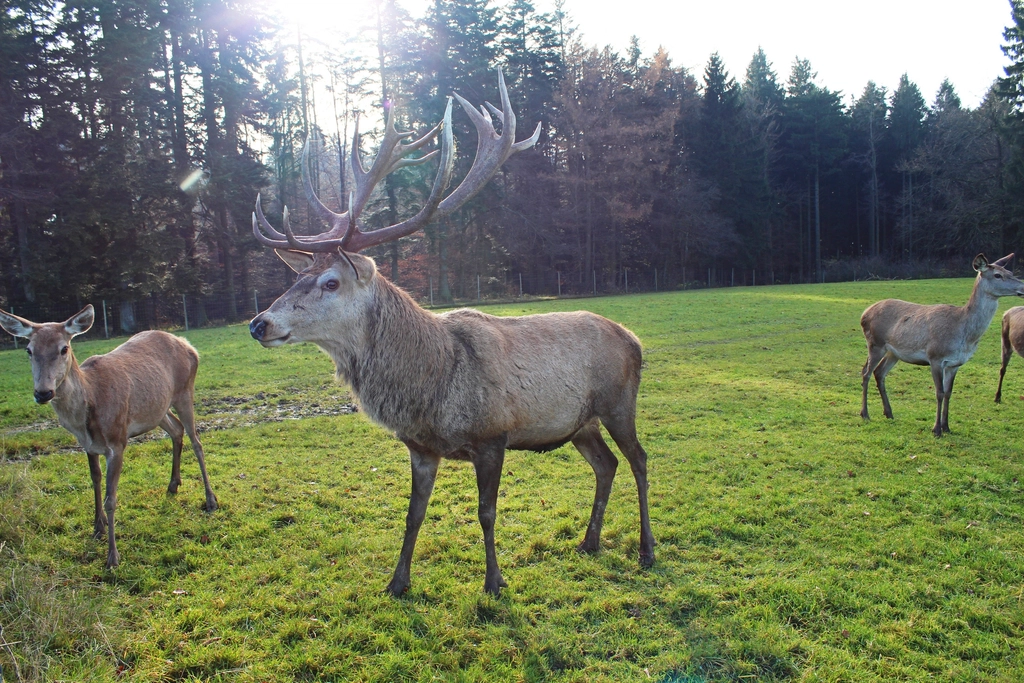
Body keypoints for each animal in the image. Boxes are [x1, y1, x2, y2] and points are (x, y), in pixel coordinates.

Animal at [0, 305, 218, 568]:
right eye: (29, 350)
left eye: (64, 348)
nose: (43, 392)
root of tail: (188, 345)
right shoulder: (88, 445)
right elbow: (95, 480)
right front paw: (97, 527)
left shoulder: (117, 440)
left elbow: (110, 498)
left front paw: (113, 556)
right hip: (156, 409)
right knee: (176, 430)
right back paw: (173, 485)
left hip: (185, 391)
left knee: (197, 441)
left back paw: (210, 499)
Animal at [248, 71, 656, 596]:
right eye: (297, 276)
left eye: (331, 281)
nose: (259, 322)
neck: (433, 387)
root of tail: (634, 339)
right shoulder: (421, 449)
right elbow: (413, 516)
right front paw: (397, 582)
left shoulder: (493, 435)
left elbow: (487, 513)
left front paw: (494, 581)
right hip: (578, 423)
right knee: (606, 465)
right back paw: (588, 542)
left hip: (619, 400)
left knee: (640, 460)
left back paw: (646, 549)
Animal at [860, 253, 1024, 437]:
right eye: (997, 275)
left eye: (1010, 272)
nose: (1022, 287)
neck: (963, 334)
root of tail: (864, 314)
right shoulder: (935, 357)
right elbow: (939, 392)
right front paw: (936, 429)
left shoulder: (955, 364)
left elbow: (948, 393)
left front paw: (947, 427)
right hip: (875, 343)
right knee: (865, 372)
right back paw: (865, 414)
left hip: (893, 353)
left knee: (879, 373)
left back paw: (889, 413)